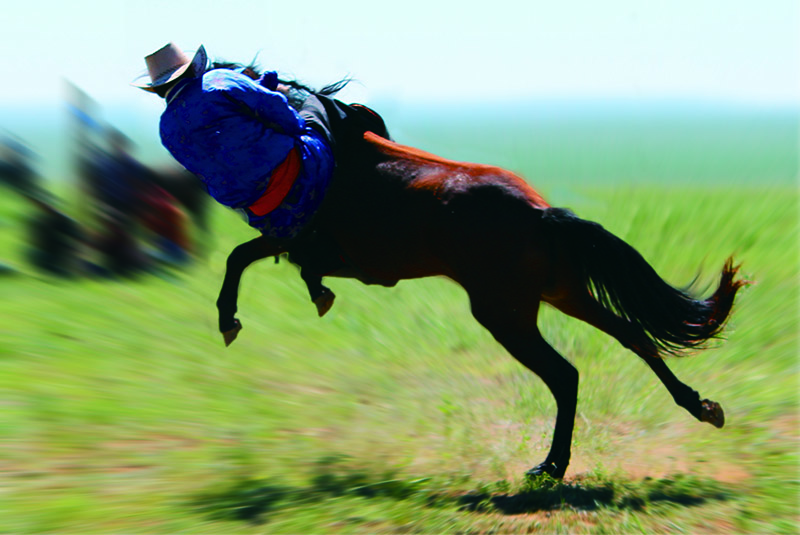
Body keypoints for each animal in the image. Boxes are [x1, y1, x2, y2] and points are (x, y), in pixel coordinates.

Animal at [213, 101, 746, 480]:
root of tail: (542, 214)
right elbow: (267, 260)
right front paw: (315, 295)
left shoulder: (302, 239)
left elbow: (240, 254)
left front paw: (229, 319)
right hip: (564, 295)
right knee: (635, 337)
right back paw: (701, 407)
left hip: (504, 314)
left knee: (565, 374)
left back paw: (550, 467)